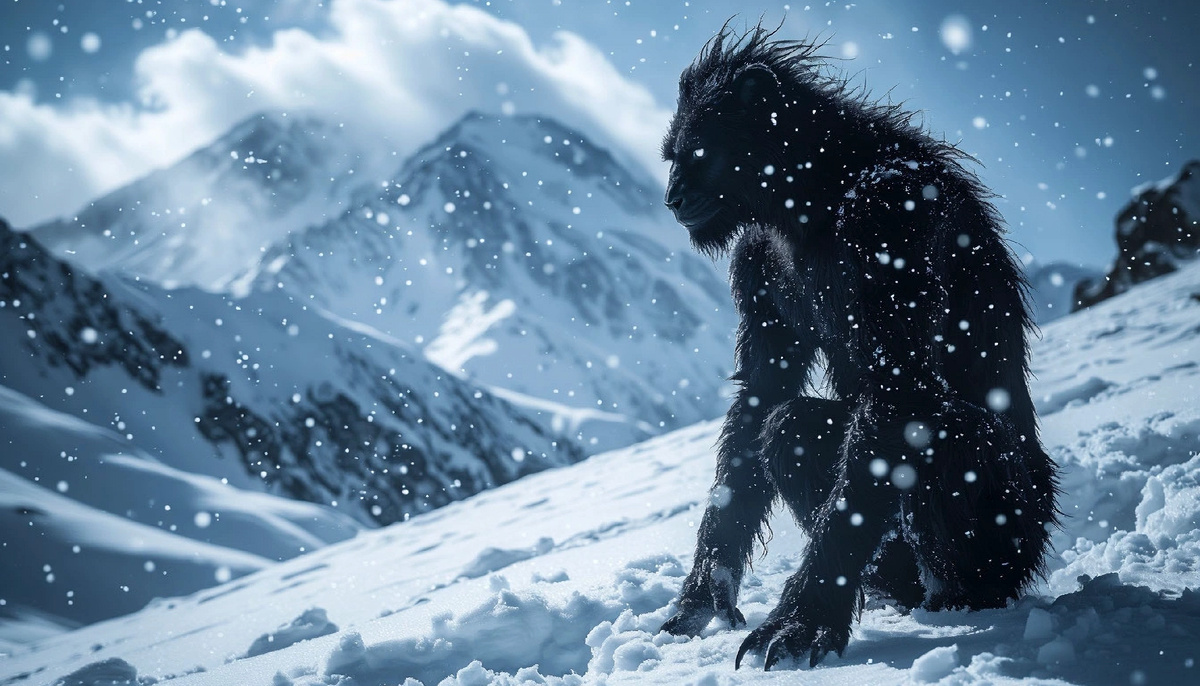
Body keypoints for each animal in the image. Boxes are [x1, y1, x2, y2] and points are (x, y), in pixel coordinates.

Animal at [657, 23, 1060, 670]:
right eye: (673, 156)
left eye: (695, 153)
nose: (671, 196)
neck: (814, 191)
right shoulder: (754, 259)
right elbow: (760, 395)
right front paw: (704, 590)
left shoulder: (889, 214)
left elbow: (898, 392)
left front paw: (802, 617)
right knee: (787, 427)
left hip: (1008, 535)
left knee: (824, 426)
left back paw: (955, 596)